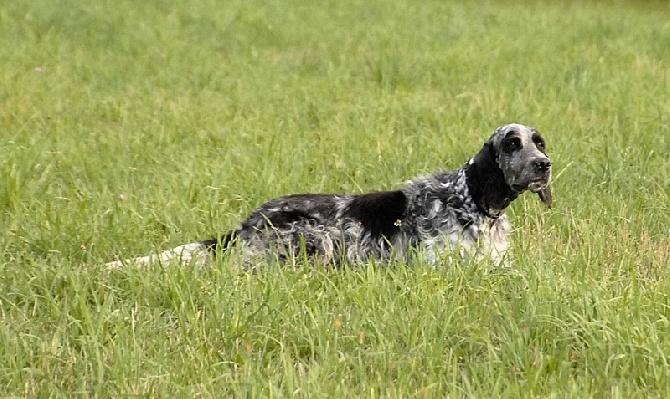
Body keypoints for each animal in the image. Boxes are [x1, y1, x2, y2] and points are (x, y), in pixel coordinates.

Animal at [107, 123, 552, 270]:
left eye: (539, 142)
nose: (544, 164)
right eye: (512, 144)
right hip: (314, 241)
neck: (471, 204)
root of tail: (244, 225)